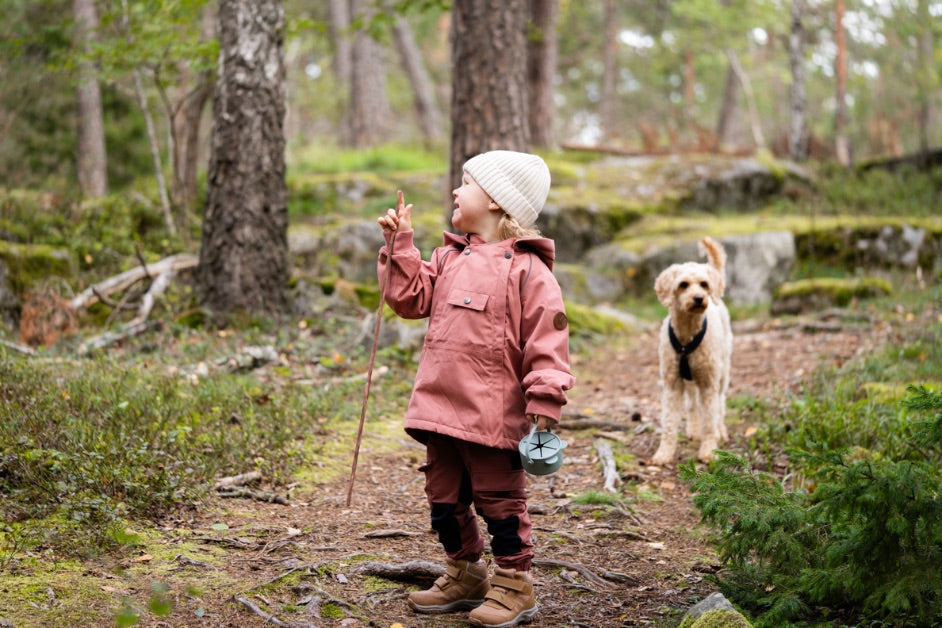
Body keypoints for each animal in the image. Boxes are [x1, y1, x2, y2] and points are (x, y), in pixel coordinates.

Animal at [652, 238, 732, 464]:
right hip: (690, 380)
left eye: (704, 284)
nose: (699, 298)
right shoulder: (672, 384)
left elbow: (710, 420)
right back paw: (694, 430)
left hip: (721, 374)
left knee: (720, 405)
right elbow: (669, 422)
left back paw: (721, 431)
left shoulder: (709, 384)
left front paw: (709, 451)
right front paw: (664, 452)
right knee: (693, 404)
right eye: (683, 284)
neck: (686, 338)